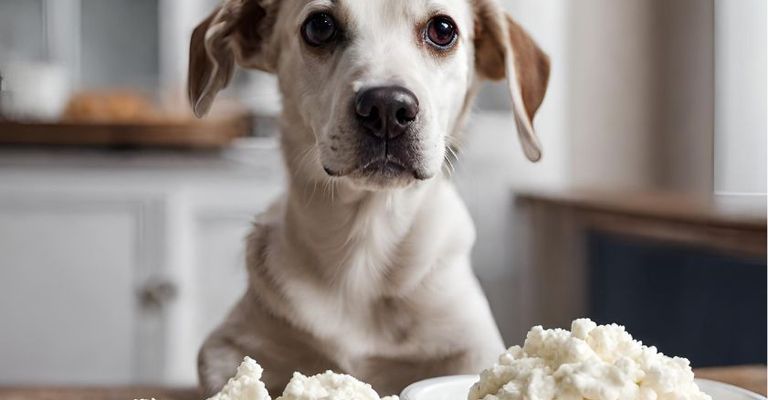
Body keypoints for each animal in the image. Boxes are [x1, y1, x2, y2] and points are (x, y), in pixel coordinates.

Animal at [189, 0, 548, 396]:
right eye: (319, 26)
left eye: (442, 30)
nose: (387, 108)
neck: (366, 245)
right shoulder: (225, 348)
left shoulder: (474, 348)